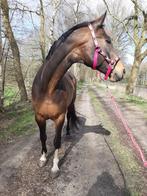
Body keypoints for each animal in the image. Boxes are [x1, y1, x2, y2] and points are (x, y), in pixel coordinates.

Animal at [31, 12, 125, 178]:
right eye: (108, 40)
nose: (123, 70)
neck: (47, 88)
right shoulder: (39, 117)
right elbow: (43, 137)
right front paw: (42, 159)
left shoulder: (59, 118)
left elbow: (57, 141)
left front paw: (54, 167)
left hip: (70, 105)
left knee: (70, 117)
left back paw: (68, 132)